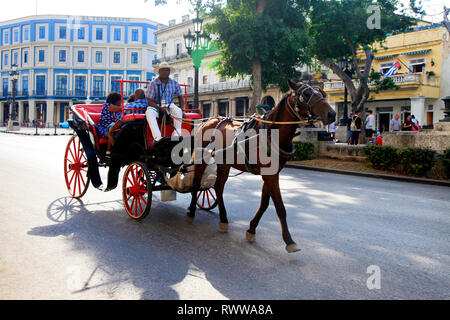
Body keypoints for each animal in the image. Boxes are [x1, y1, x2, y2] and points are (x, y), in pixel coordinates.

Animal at [185, 79, 336, 252]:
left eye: (322, 93)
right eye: (305, 95)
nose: (332, 114)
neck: (271, 133)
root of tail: (206, 121)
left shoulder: (271, 174)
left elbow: (264, 204)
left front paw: (251, 229)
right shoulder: (270, 176)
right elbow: (280, 207)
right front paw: (289, 240)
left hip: (224, 163)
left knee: (218, 187)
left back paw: (223, 219)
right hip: (201, 160)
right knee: (196, 183)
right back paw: (191, 212)